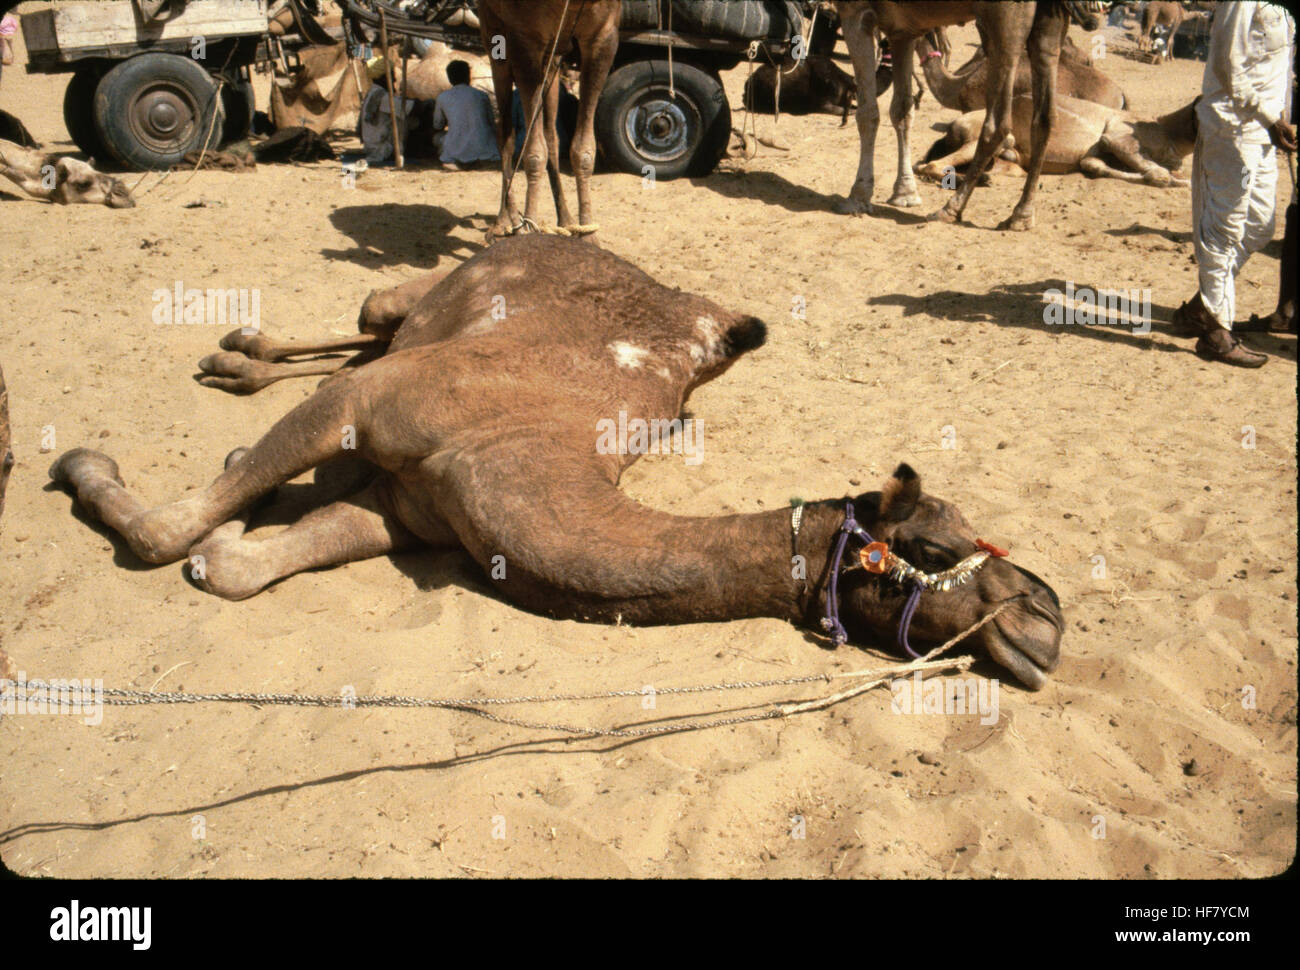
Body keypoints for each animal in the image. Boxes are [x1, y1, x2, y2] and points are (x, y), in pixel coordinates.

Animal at [52, 235, 1064, 689]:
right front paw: (84, 466)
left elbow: (243, 567)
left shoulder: (404, 511)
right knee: (369, 319)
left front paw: (228, 535)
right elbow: (162, 535)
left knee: (360, 341)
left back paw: (236, 370)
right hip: (415, 297)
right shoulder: (372, 409)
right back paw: (236, 352)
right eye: (933, 549)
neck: (532, 459)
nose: (1047, 617)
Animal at [478, 0, 620, 237]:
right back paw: (505, 223)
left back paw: (566, 221)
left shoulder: (604, 34)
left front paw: (588, 235)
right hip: (493, 33)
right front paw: (528, 232)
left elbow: (583, 149)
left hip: (553, 58)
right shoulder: (524, 38)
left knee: (551, 135)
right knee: (505, 134)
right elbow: (534, 152)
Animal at [833, 1, 1103, 231]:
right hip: (1049, 26)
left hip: (1005, 23)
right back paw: (1021, 215)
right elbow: (902, 112)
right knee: (1044, 119)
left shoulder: (856, 11)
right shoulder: (903, 30)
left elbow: (868, 112)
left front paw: (858, 196)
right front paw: (905, 193)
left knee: (998, 124)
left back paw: (950, 209)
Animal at [915, 93, 1198, 188]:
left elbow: (1094, 164)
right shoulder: (1118, 137)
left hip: (1011, 161)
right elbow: (1158, 172)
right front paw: (1176, 183)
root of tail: (952, 127)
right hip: (989, 139)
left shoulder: (1096, 154)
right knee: (929, 165)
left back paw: (984, 178)